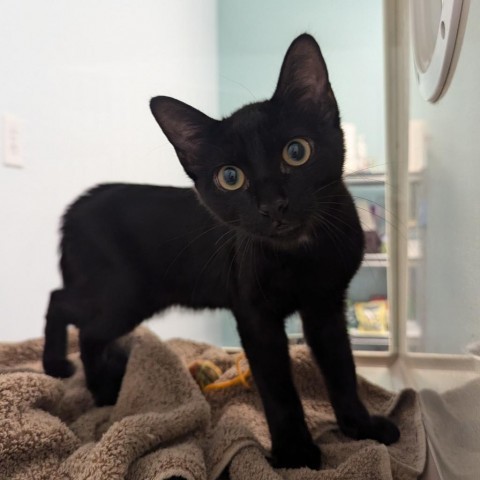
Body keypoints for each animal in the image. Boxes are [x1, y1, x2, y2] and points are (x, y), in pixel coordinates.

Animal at [43, 34, 400, 468]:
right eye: (230, 177)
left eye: (297, 152)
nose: (273, 205)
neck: (299, 255)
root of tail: (76, 206)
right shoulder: (255, 315)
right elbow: (278, 388)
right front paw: (294, 453)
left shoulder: (326, 306)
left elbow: (342, 369)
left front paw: (361, 428)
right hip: (122, 296)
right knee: (69, 310)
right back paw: (73, 374)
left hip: (126, 299)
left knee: (80, 319)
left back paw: (100, 382)